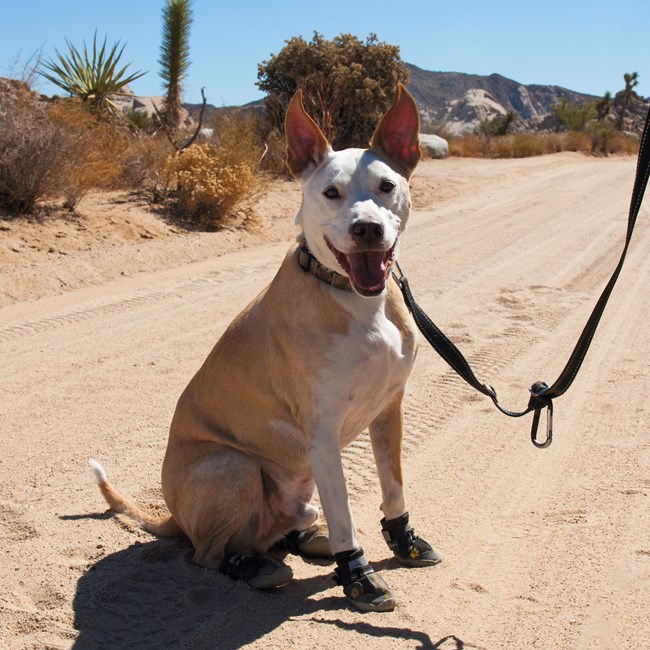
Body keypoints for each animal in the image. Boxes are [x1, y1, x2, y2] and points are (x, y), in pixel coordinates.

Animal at [90, 83, 436, 612]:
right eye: (330, 193)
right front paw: (358, 575)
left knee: (277, 529)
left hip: (295, 491)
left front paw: (404, 541)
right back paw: (253, 567)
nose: (367, 230)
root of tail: (174, 518)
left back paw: (305, 541)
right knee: (207, 554)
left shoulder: (389, 409)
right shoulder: (321, 432)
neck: (355, 300)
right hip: (234, 466)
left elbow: (393, 489)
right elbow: (344, 514)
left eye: (386, 186)